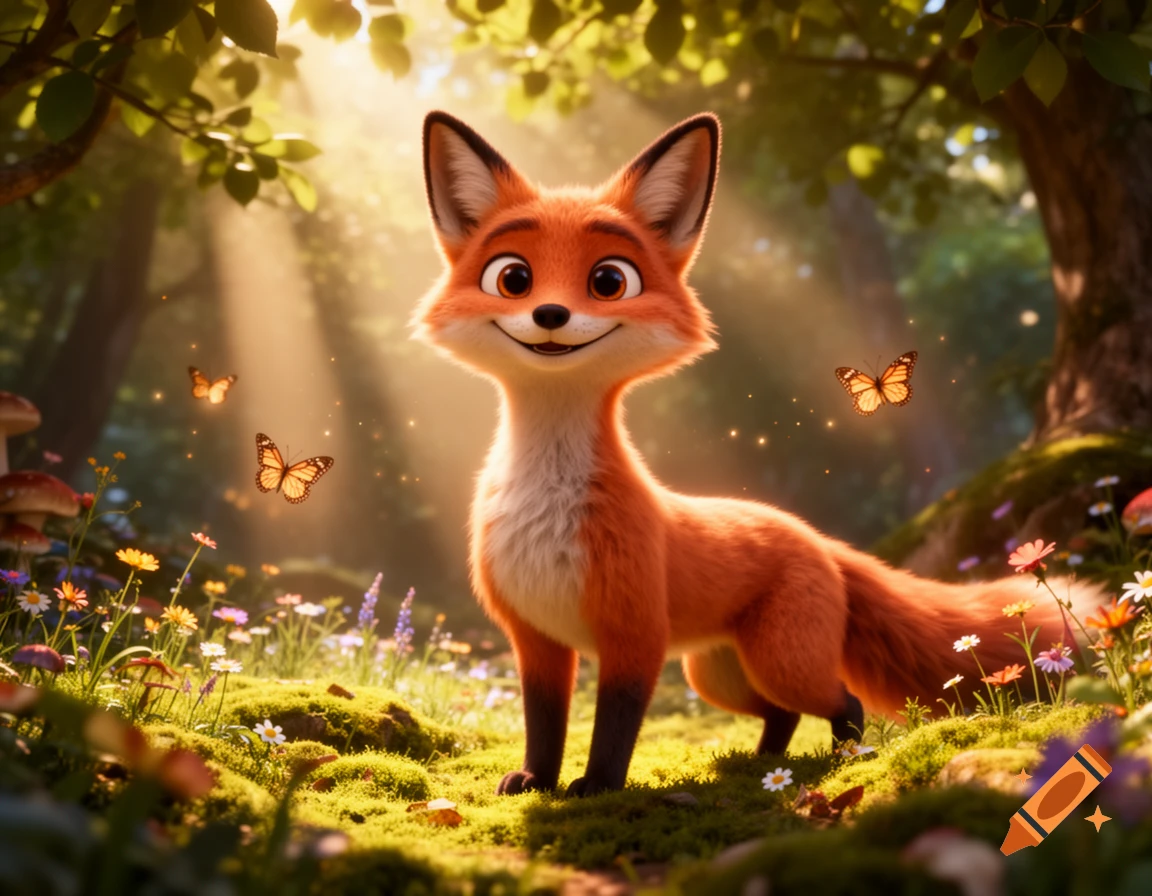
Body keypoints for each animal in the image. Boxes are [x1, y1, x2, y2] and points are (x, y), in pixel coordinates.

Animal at [413, 110, 1099, 797]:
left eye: (609, 280)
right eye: (512, 277)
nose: (550, 313)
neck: (549, 509)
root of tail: (816, 538)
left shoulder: (636, 637)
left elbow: (615, 725)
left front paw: (598, 787)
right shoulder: (536, 641)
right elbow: (545, 720)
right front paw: (536, 779)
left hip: (776, 659)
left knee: (842, 701)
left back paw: (842, 760)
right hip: (718, 673)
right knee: (781, 713)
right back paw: (762, 762)